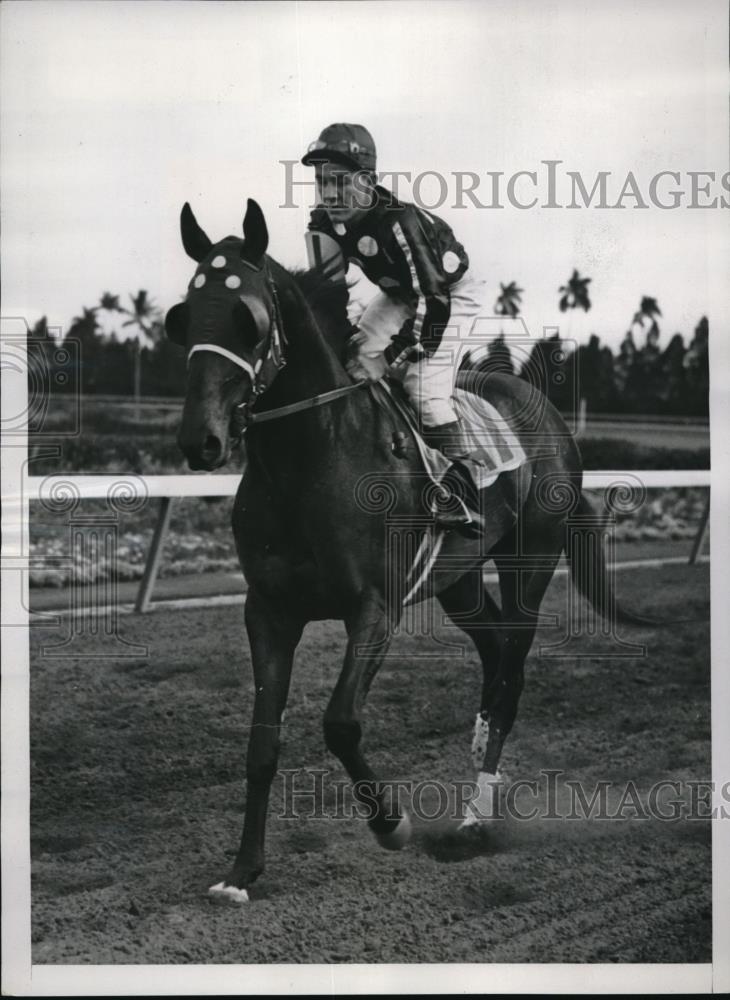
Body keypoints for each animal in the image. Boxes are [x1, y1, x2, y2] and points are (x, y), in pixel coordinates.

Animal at [164, 199, 644, 904]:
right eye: (183, 315)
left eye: (246, 318)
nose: (201, 440)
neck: (312, 457)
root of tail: (551, 416)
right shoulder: (269, 610)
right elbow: (261, 744)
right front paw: (242, 872)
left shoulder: (375, 605)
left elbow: (339, 722)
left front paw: (392, 825)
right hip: (457, 579)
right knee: (493, 651)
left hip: (529, 562)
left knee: (511, 673)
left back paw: (475, 815)